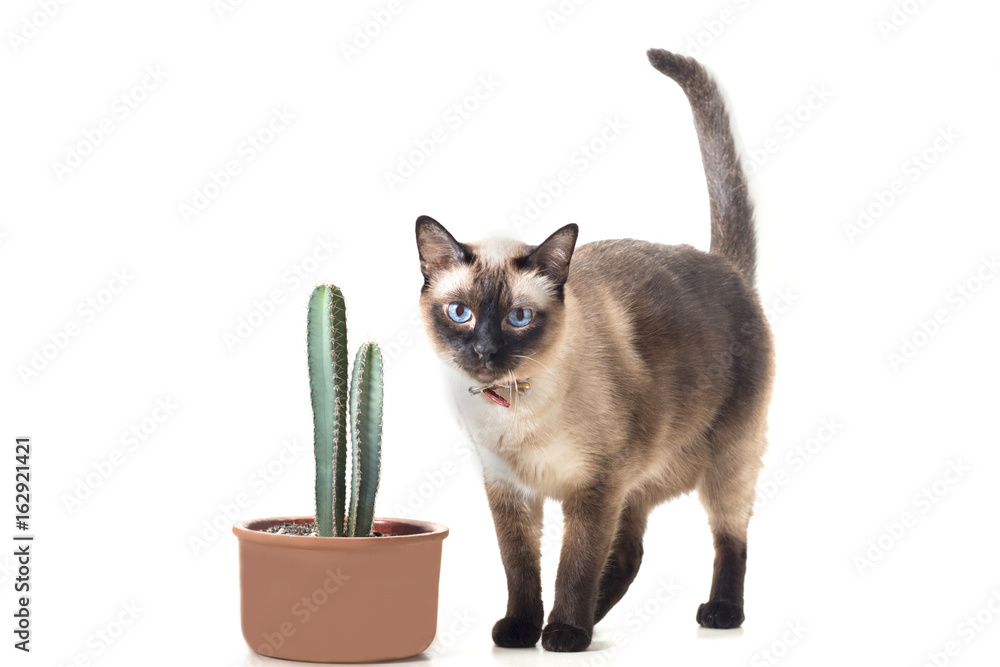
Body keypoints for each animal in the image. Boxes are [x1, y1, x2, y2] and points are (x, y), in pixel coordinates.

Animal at [414, 49, 772, 656]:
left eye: (518, 319)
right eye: (460, 313)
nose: (484, 350)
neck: (515, 409)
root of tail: (724, 265)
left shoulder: (594, 489)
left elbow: (574, 565)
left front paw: (562, 633)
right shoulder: (510, 492)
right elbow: (521, 569)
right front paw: (521, 630)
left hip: (727, 459)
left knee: (731, 534)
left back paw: (714, 613)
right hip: (638, 485)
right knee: (628, 554)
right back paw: (589, 623)